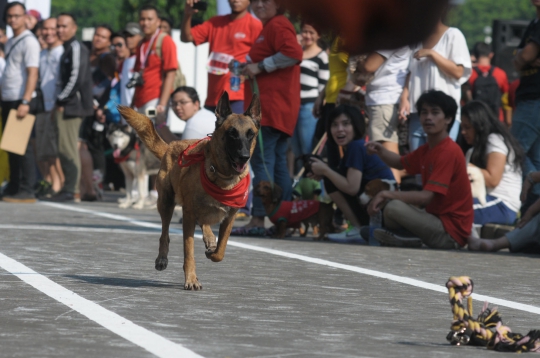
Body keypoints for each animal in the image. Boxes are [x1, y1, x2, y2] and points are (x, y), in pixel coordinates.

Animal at [118, 92, 262, 290]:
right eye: (232, 134)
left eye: (251, 135)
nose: (244, 157)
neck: (222, 177)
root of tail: (171, 145)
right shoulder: (188, 215)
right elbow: (189, 251)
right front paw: (191, 279)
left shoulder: (229, 218)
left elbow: (220, 251)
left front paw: (212, 250)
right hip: (166, 204)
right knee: (165, 235)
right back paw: (162, 258)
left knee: (204, 224)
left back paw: (209, 239)